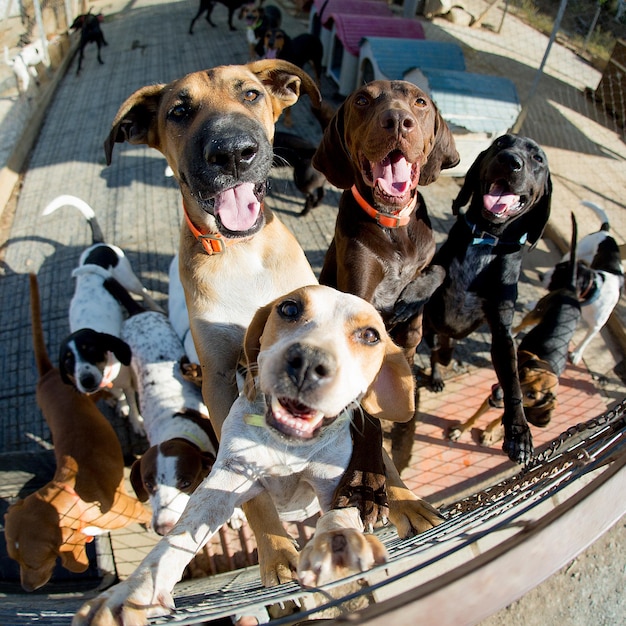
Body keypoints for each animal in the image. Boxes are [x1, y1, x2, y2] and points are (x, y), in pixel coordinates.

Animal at [43, 193, 161, 432]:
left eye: (90, 349)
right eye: (67, 361)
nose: (86, 381)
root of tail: (97, 244)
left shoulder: (126, 379)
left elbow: (130, 398)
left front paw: (136, 421)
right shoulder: (110, 385)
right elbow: (120, 396)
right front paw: (121, 406)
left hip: (129, 279)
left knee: (143, 292)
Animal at [74, 284, 420, 624]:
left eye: (370, 335)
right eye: (289, 308)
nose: (308, 362)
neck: (287, 447)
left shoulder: (333, 486)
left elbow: (338, 518)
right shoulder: (225, 478)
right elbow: (178, 537)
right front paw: (131, 593)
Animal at [104, 58, 320, 584]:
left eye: (251, 94)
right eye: (179, 111)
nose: (233, 154)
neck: (243, 254)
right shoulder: (219, 380)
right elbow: (246, 483)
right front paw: (276, 551)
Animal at [422, 133, 548, 464]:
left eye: (538, 159)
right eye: (501, 143)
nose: (510, 160)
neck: (489, 237)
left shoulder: (502, 333)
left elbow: (514, 381)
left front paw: (518, 432)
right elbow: (433, 275)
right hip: (431, 330)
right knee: (435, 352)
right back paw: (437, 372)